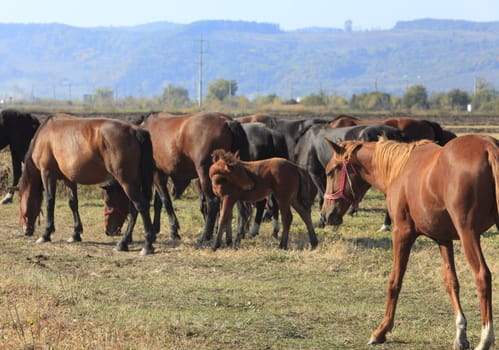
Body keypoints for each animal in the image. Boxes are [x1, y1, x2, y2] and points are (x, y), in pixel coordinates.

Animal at [18, 114, 157, 254]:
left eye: (19, 201)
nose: (25, 230)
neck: (44, 135)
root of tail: (136, 131)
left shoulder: (47, 174)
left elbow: (49, 202)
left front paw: (46, 234)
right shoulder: (68, 179)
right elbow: (73, 203)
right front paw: (75, 234)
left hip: (127, 182)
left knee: (140, 205)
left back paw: (147, 245)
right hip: (134, 182)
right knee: (134, 209)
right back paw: (123, 243)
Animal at [102, 111, 250, 246]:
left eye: (108, 201)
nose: (108, 231)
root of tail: (226, 122)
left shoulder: (156, 175)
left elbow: (165, 201)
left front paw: (173, 231)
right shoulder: (161, 175)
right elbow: (158, 203)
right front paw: (156, 228)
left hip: (205, 175)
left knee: (213, 202)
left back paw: (204, 237)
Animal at [320, 135, 499, 350]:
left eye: (330, 172)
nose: (325, 215)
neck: (400, 169)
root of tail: (488, 147)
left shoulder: (401, 233)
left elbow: (395, 281)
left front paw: (381, 330)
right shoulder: (444, 239)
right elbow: (451, 282)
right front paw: (460, 333)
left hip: (468, 234)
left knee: (482, 276)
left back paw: (486, 338)